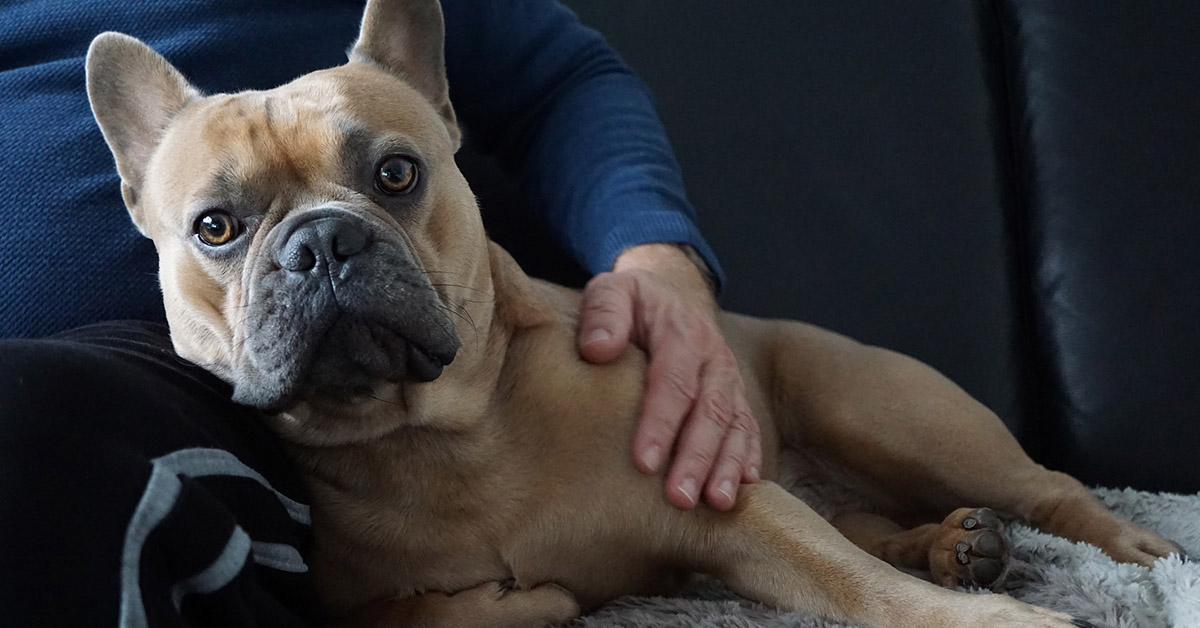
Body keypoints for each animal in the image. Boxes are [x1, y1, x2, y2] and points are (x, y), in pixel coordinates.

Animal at [84, 2, 1180, 624]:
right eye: (215, 227)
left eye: (395, 173)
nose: (320, 243)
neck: (435, 439)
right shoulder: (358, 606)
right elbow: (435, 613)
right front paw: (522, 596)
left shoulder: (735, 506)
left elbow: (854, 586)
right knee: (871, 524)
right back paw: (956, 545)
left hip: (886, 412)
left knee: (1045, 489)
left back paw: (1126, 549)